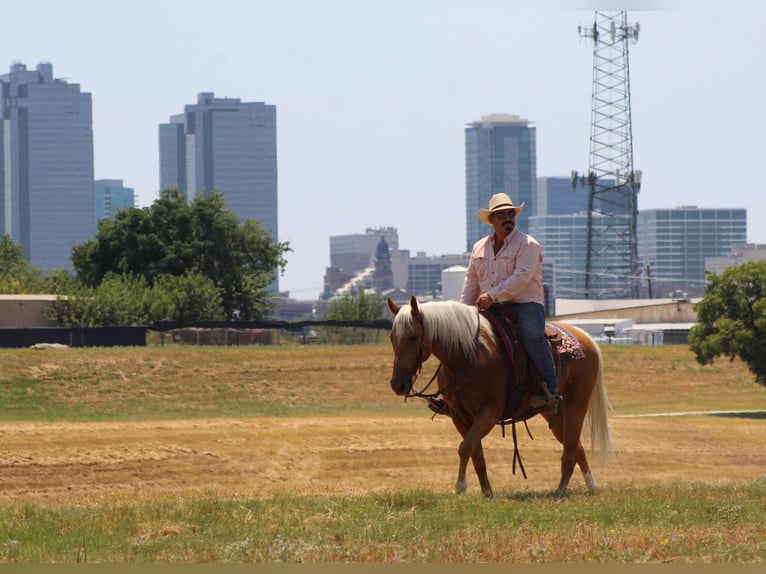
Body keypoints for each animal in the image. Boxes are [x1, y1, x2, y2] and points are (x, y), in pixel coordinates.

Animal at [387, 296, 613, 497]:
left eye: (413, 337)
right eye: (392, 338)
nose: (398, 384)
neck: (466, 357)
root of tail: (585, 337)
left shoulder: (489, 413)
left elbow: (465, 447)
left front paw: (460, 487)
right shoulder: (460, 417)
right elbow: (475, 453)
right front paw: (487, 492)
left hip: (577, 405)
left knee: (571, 449)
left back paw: (561, 490)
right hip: (554, 415)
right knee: (576, 447)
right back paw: (591, 487)